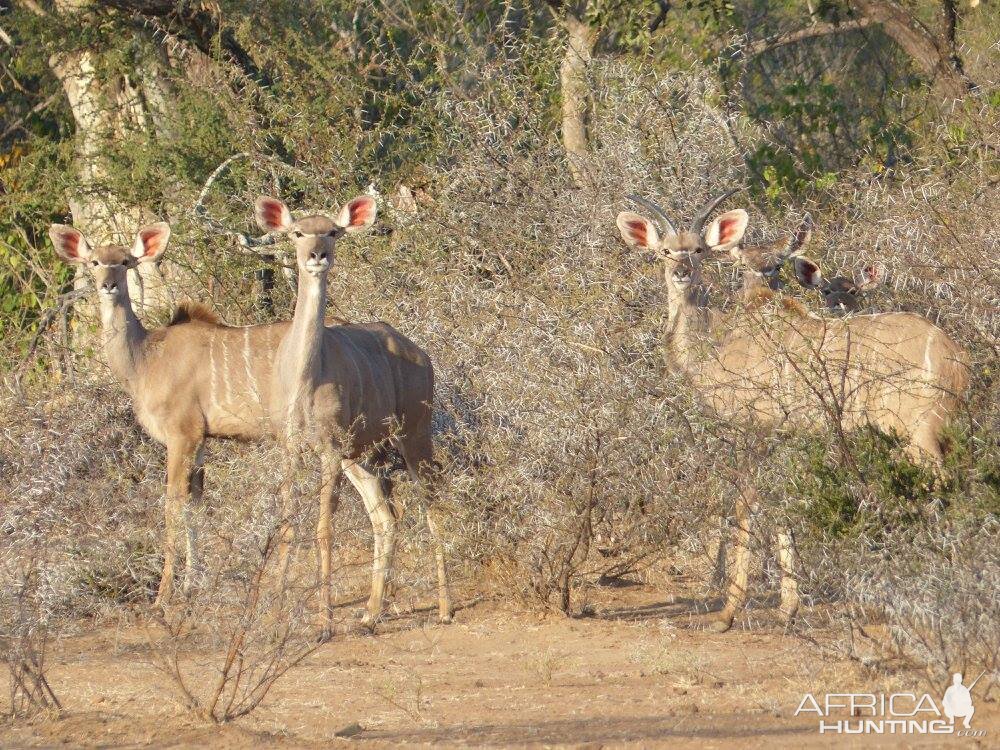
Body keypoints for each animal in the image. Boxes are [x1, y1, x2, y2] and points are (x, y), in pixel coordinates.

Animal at [252, 197, 452, 636]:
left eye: (332, 231)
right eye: (297, 232)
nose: (317, 256)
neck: (306, 378)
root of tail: (422, 355)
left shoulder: (329, 448)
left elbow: (324, 529)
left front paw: (325, 622)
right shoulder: (292, 449)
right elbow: (288, 525)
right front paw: (274, 618)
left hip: (414, 434)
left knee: (433, 503)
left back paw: (445, 609)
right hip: (363, 456)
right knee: (387, 516)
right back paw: (371, 612)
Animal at [616, 191, 968, 632]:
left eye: (698, 250)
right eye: (665, 250)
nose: (681, 271)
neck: (717, 341)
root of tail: (955, 357)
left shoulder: (755, 431)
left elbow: (745, 505)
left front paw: (728, 613)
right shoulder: (786, 437)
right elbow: (782, 503)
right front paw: (788, 608)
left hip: (919, 434)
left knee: (941, 487)